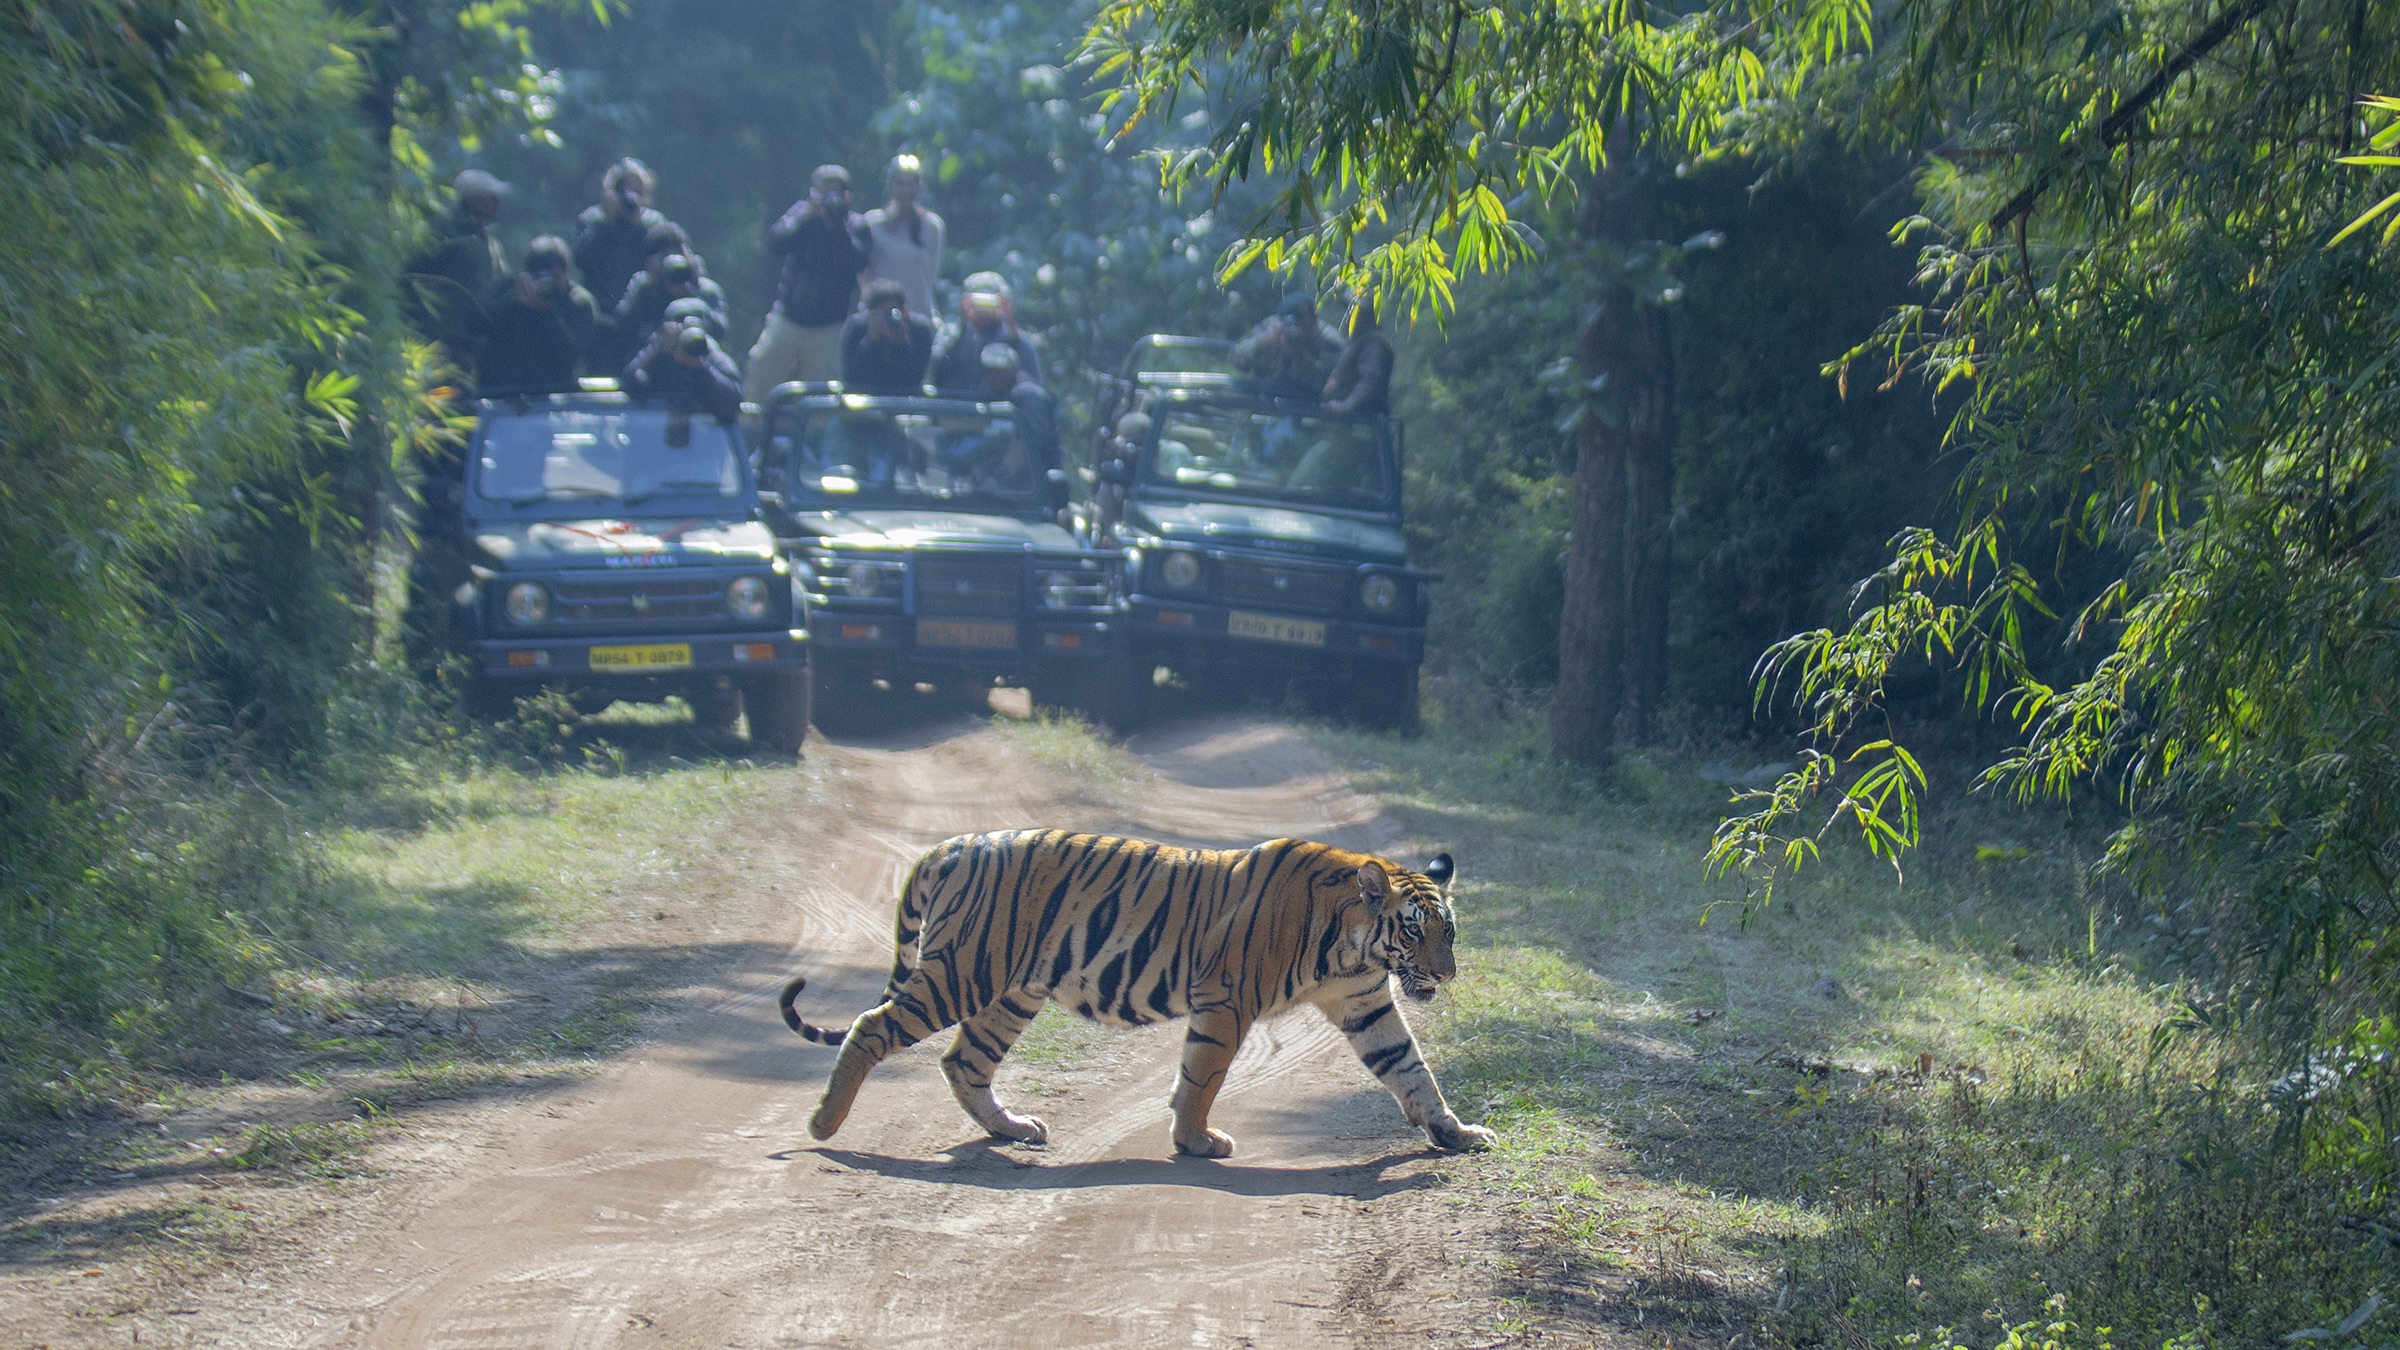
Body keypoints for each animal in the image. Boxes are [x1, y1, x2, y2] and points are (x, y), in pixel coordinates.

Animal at [777, 828, 1494, 1158]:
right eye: (1415, 931)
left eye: (1450, 931)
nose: (1447, 974)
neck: (1352, 946)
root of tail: (954, 844)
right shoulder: (1225, 1001)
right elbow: (1202, 1076)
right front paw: (1197, 1141)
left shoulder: (1365, 1004)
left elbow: (1411, 1070)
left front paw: (1456, 1133)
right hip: (963, 972)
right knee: (871, 1025)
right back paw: (824, 1123)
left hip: (1011, 991)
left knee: (963, 1061)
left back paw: (1015, 1129)